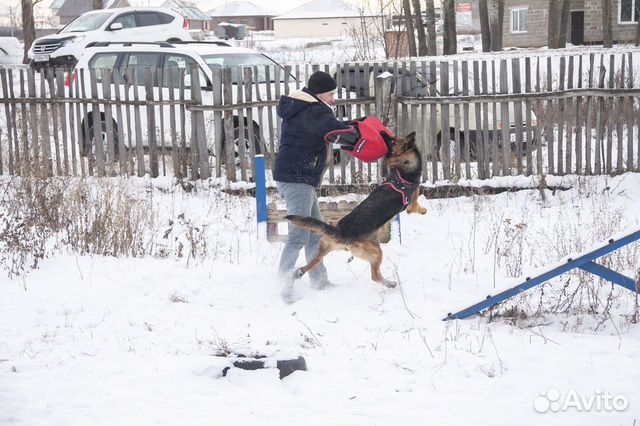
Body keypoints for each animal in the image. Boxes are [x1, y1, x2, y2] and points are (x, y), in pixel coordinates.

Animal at [284, 131, 424, 288]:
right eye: (392, 140)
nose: (382, 132)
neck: (402, 167)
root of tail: (341, 232)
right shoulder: (411, 205)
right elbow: (417, 207)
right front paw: (424, 210)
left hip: (326, 246)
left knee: (315, 261)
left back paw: (299, 272)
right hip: (376, 251)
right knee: (375, 276)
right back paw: (390, 284)